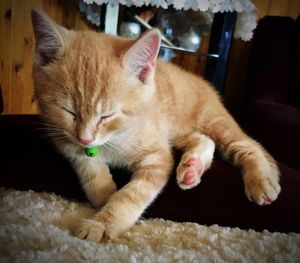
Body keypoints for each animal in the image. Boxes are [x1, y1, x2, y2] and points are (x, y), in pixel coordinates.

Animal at [31, 8, 282, 243]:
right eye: (68, 111)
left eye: (107, 115)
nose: (85, 138)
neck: (114, 138)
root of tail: (203, 83)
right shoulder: (62, 136)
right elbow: (85, 163)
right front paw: (103, 193)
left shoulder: (157, 156)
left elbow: (132, 195)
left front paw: (102, 222)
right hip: (174, 130)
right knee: (204, 139)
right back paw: (192, 167)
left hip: (213, 121)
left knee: (248, 145)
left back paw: (260, 180)